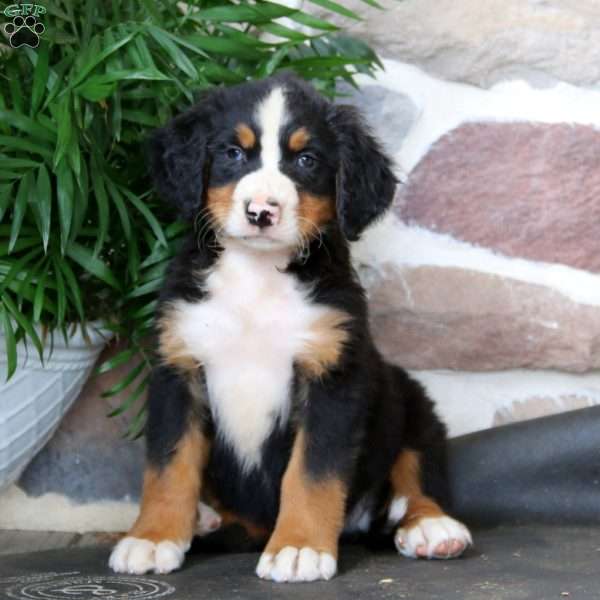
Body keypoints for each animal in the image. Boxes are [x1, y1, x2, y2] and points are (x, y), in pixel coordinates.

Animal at [109, 71, 474, 580]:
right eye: (233, 153)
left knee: (416, 467)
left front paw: (299, 547)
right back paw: (204, 519)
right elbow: (168, 465)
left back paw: (430, 526)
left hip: (409, 397)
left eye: (306, 160)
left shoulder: (333, 377)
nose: (262, 211)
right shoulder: (179, 371)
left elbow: (312, 473)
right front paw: (153, 536)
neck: (256, 278)